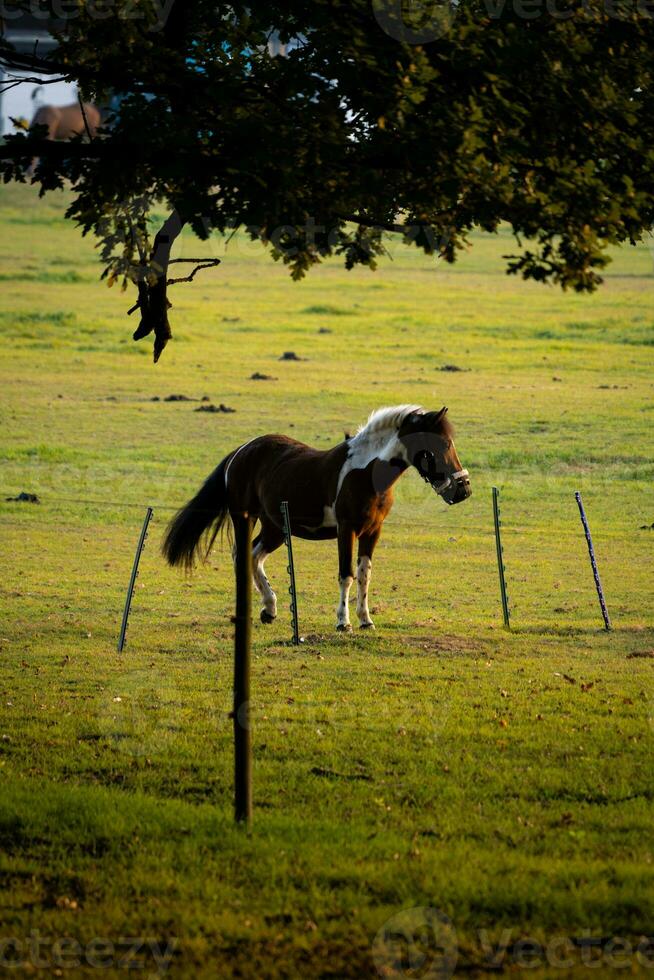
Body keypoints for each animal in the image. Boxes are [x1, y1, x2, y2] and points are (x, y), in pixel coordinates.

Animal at [163, 404, 472, 628]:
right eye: (442, 445)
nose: (463, 489)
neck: (366, 473)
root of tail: (241, 452)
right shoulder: (346, 529)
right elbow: (346, 575)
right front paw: (343, 622)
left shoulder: (373, 531)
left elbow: (364, 574)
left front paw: (365, 620)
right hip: (246, 518)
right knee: (242, 554)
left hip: (275, 527)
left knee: (253, 554)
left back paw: (269, 609)